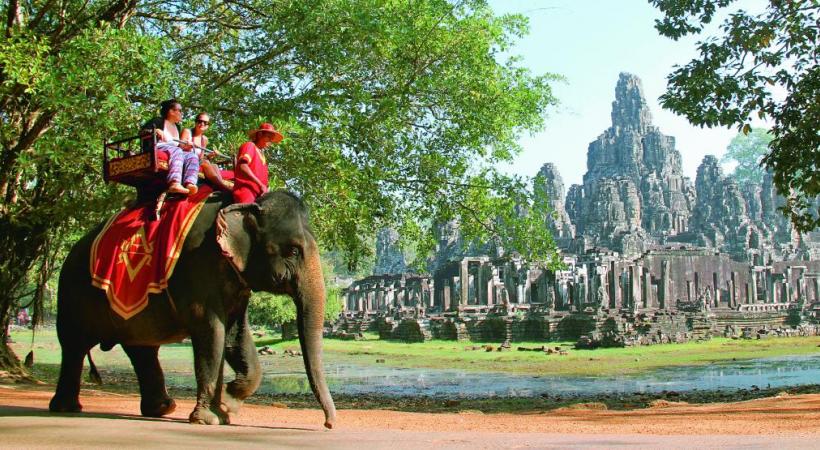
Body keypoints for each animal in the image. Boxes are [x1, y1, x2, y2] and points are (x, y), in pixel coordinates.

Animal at [48, 190, 334, 428]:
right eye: (293, 250)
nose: (328, 424)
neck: (244, 203)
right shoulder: (197, 265)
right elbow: (212, 331)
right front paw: (211, 418)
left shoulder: (237, 279)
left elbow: (237, 334)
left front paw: (229, 403)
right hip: (71, 292)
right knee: (74, 345)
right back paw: (66, 408)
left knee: (141, 349)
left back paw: (162, 409)